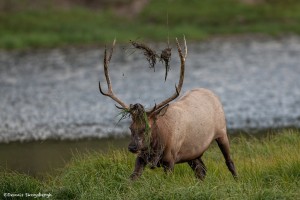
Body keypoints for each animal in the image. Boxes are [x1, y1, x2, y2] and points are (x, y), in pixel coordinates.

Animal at [99, 37, 238, 180]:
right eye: (130, 128)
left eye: (147, 128)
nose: (132, 147)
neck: (158, 144)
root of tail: (212, 93)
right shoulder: (141, 157)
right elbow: (132, 178)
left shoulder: (170, 159)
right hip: (193, 152)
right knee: (201, 170)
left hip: (222, 132)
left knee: (229, 161)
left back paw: (237, 180)